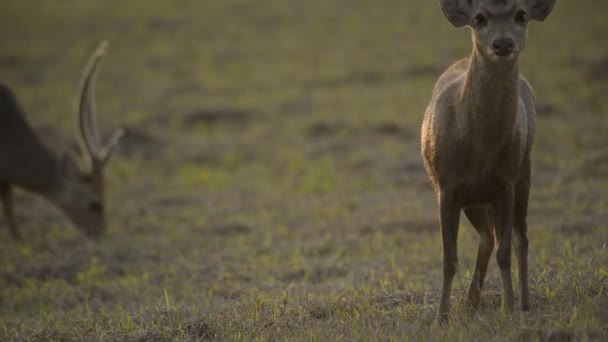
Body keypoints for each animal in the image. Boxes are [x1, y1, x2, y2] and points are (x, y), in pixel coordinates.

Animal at [422, 0, 556, 324]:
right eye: (479, 18)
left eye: (521, 14)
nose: (503, 43)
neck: (477, 147)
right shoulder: (446, 187)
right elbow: (449, 258)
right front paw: (441, 318)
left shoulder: (504, 183)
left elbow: (505, 251)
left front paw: (509, 308)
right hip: (474, 198)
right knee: (487, 235)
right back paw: (471, 302)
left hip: (523, 172)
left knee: (519, 237)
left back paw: (524, 302)